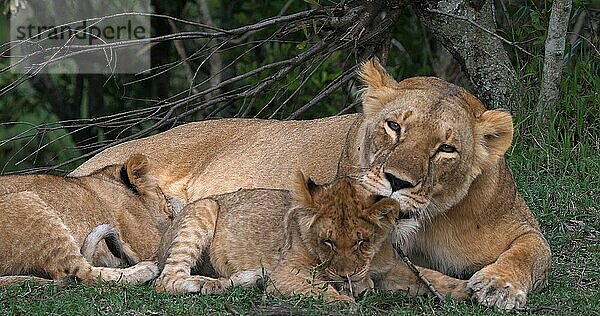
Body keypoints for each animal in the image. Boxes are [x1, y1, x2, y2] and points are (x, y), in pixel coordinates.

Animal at [72, 59, 552, 308]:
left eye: (446, 149)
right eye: (394, 127)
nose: (396, 182)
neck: (422, 227)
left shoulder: (514, 224)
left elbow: (534, 250)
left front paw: (498, 285)